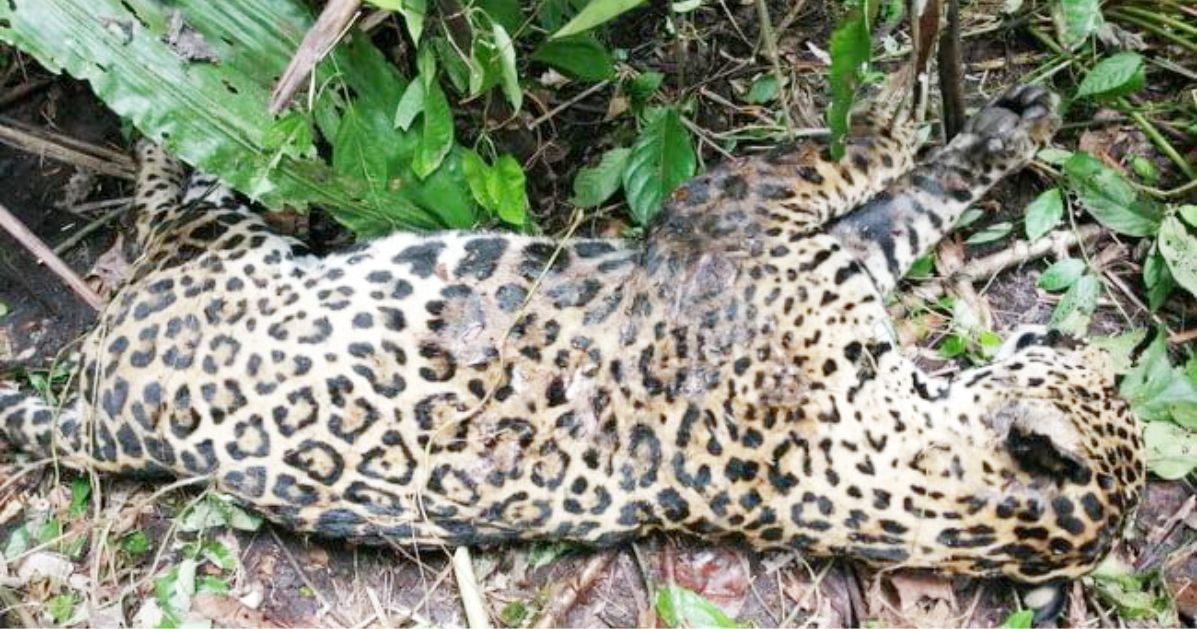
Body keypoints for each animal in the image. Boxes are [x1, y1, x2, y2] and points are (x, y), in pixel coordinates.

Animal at [0, 84, 1143, 591]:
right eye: (1064, 350)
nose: (1061, 329)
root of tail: (104, 419)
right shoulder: (806, 242)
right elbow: (894, 179)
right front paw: (995, 117)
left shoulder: (736, 217)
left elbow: (858, 162)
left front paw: (932, 110)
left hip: (211, 248)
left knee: (175, 186)